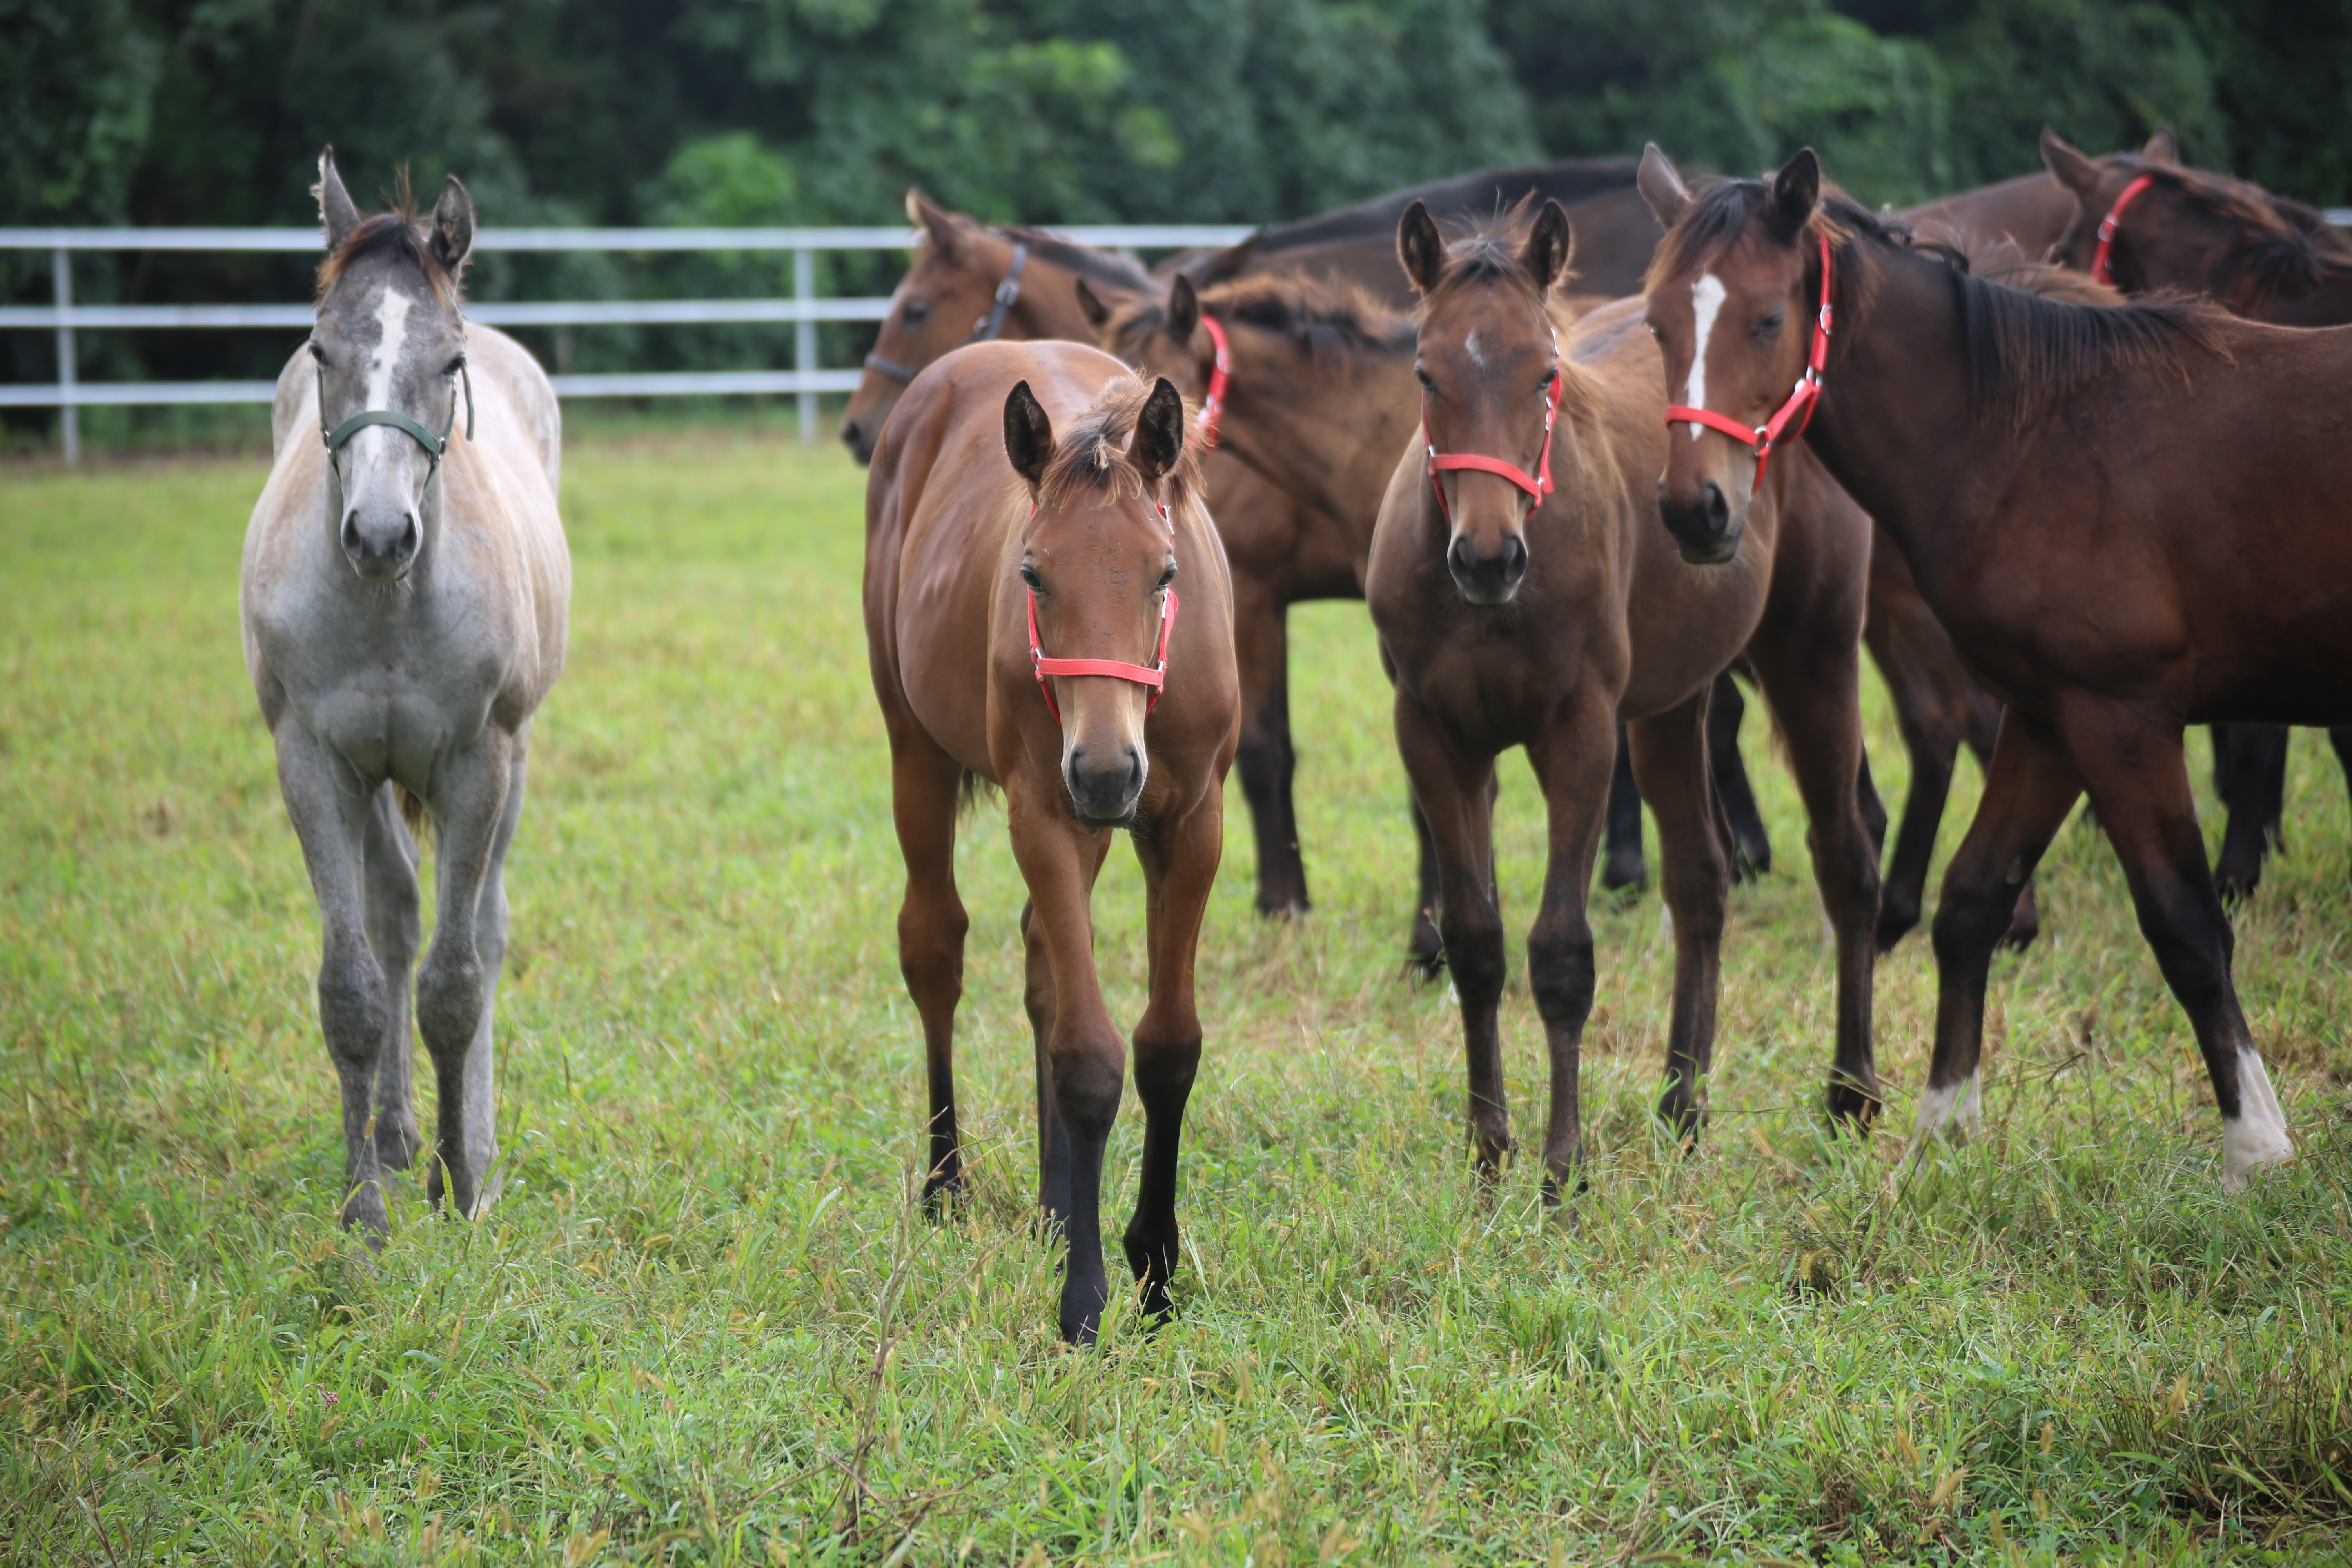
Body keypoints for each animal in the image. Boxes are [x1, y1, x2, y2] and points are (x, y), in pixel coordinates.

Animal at [240, 153, 569, 1241]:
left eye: (450, 362)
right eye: (320, 347)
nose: (380, 534)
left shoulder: (478, 762)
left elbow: (456, 986)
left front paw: (461, 1186)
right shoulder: (312, 761)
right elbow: (355, 987)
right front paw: (364, 1215)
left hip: (510, 766)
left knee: (484, 928)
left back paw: (474, 1145)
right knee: (393, 922)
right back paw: (393, 1137)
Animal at [861, 345, 1232, 1354]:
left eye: (1164, 572)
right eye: (1033, 575)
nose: (1104, 770)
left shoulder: (1192, 827)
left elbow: (1167, 1046)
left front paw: (1154, 1265)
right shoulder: (1045, 815)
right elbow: (1090, 1055)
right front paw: (1087, 1300)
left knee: (1038, 962)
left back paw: (1059, 1205)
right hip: (915, 751)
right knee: (934, 949)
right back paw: (947, 1181)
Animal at [1364, 205, 1872, 1189]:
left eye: (1545, 372)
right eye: (1425, 373)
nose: (1489, 559)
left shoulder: (1581, 733)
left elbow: (1562, 951)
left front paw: (1563, 1169)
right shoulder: (1436, 737)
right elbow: (1476, 942)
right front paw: (1489, 1156)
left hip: (1815, 657)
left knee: (1848, 864)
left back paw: (1852, 1096)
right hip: (1674, 708)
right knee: (1702, 882)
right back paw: (1683, 1107)